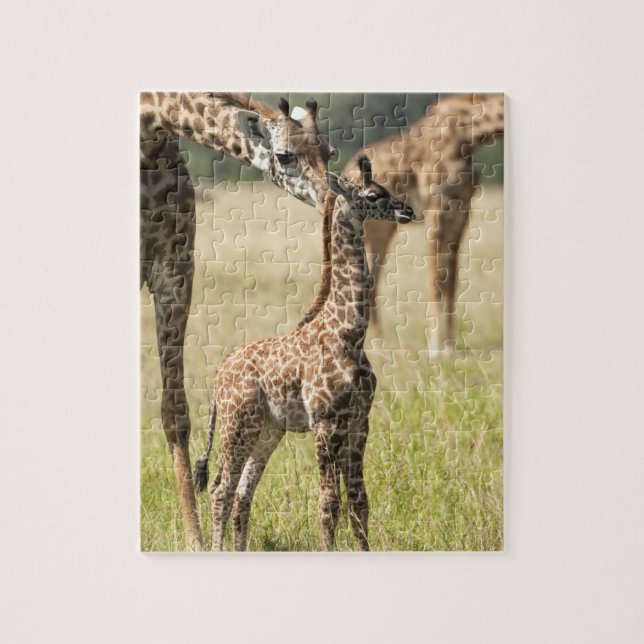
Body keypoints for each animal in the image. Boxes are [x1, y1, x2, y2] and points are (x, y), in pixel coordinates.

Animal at [140, 92, 333, 550]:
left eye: (330, 152)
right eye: (285, 155)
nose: (331, 198)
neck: (149, 129)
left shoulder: (174, 266)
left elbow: (174, 410)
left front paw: (194, 538)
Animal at [193, 156, 416, 551]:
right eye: (374, 195)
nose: (408, 210)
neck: (349, 333)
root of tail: (218, 375)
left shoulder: (359, 422)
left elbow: (359, 501)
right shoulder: (325, 423)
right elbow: (329, 503)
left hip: (267, 431)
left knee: (242, 493)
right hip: (237, 425)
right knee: (222, 489)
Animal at [299, 93, 504, 354]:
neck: (468, 134)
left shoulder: (461, 213)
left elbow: (452, 283)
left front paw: (450, 347)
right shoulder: (436, 210)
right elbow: (436, 280)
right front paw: (435, 349)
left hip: (383, 228)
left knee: (372, 281)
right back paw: (377, 346)